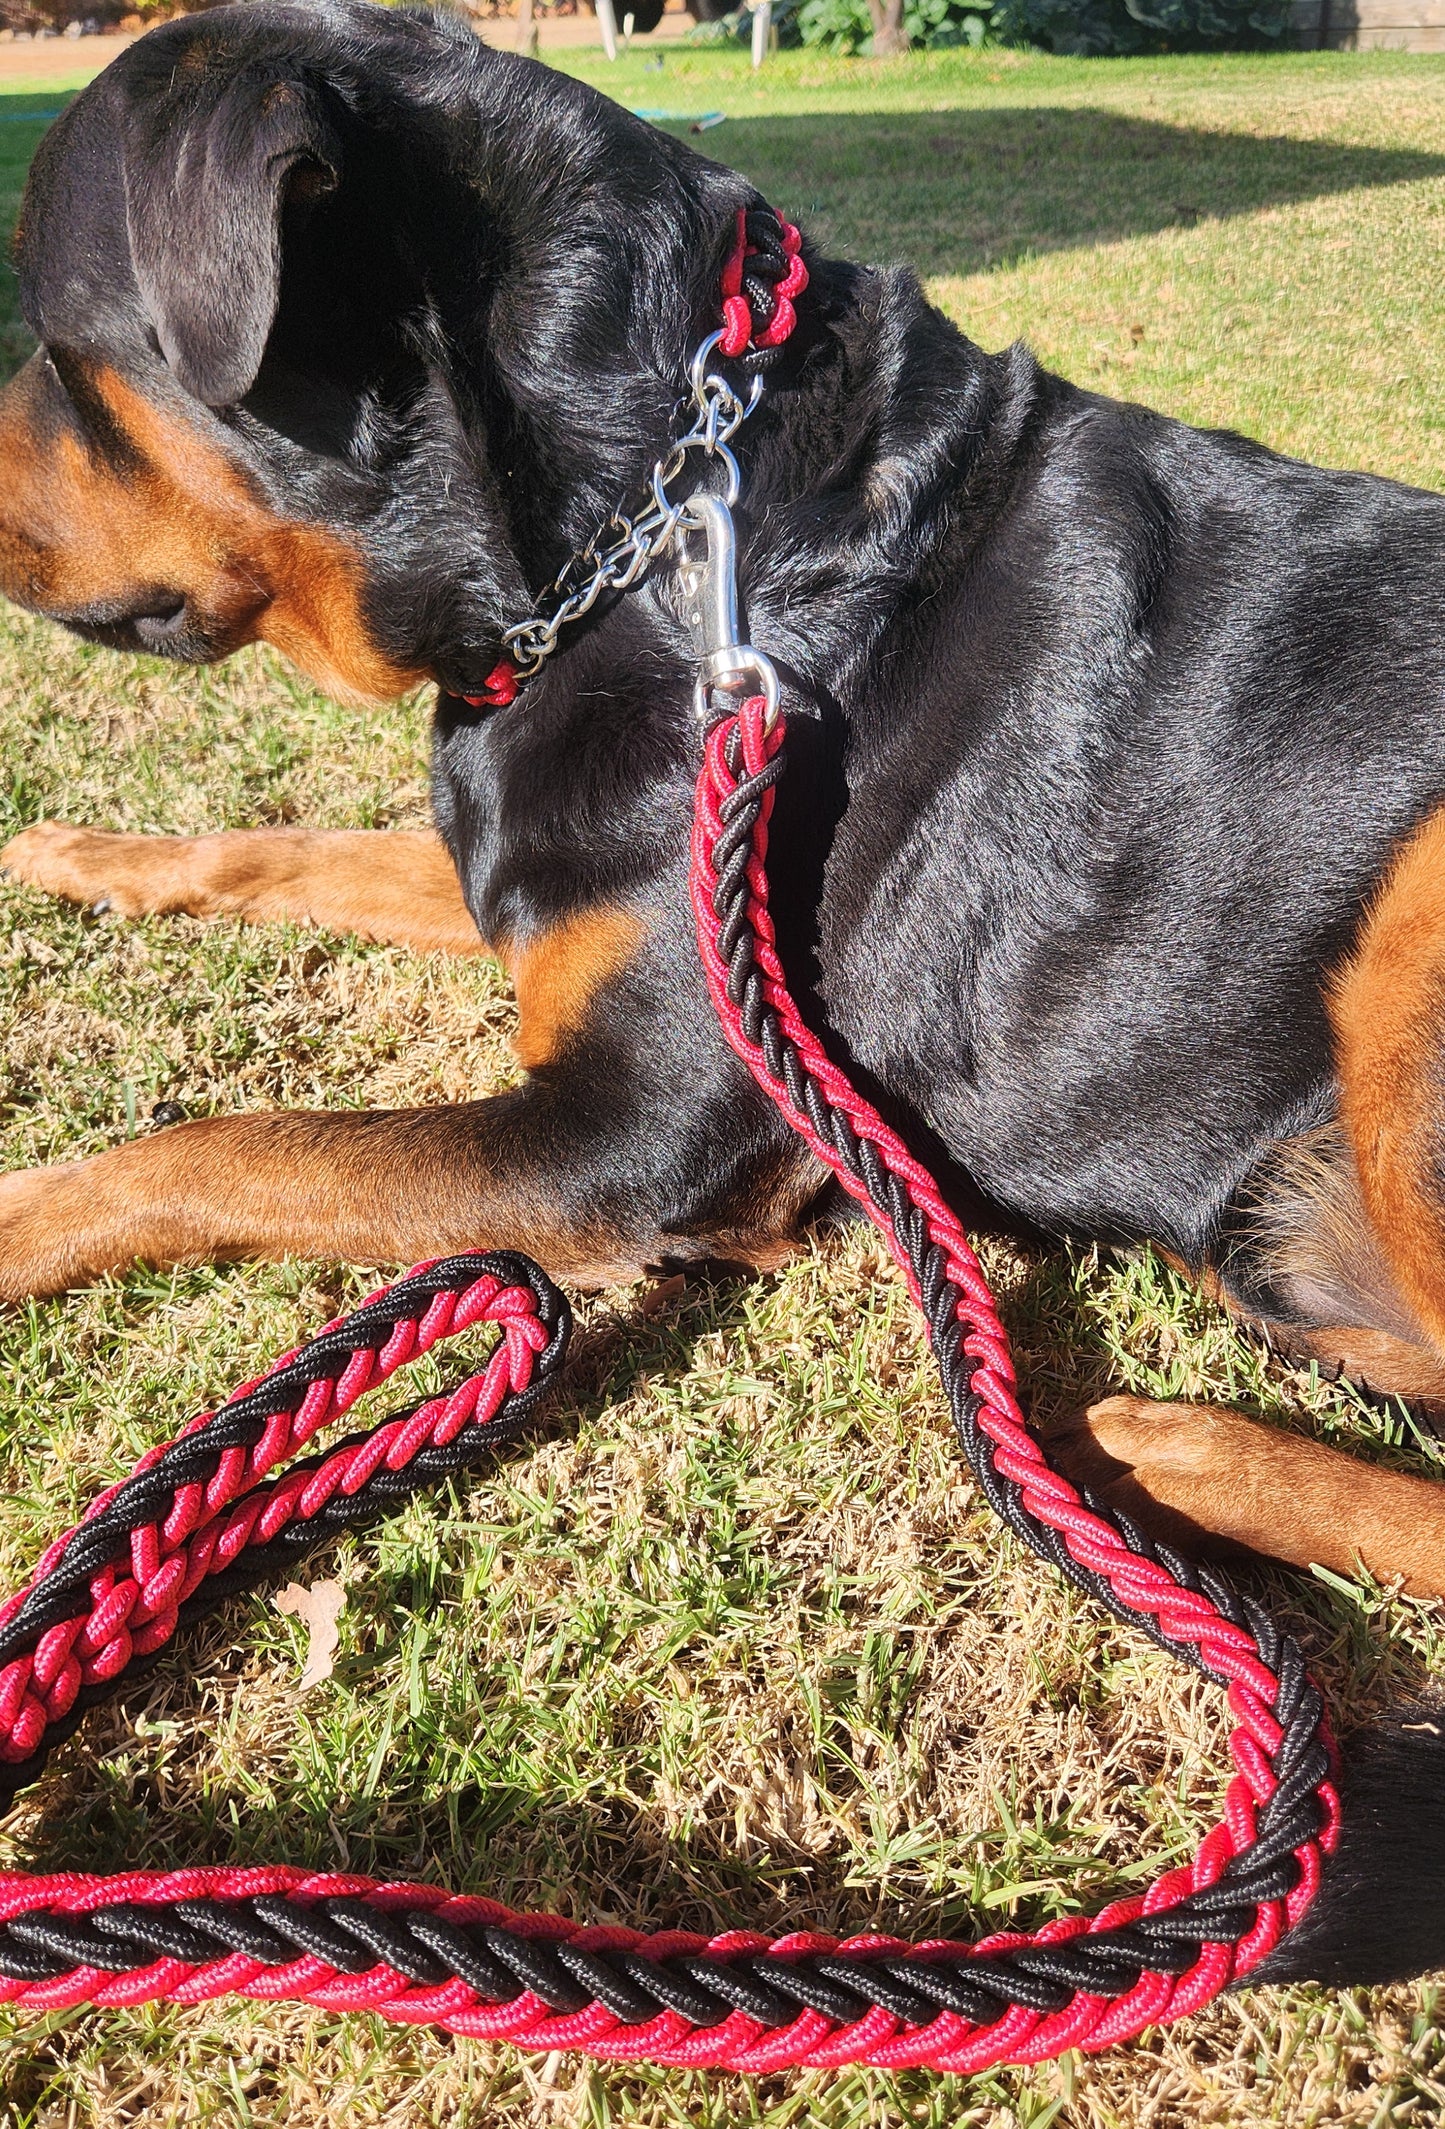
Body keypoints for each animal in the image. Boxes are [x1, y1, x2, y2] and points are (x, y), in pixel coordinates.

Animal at [2, 0, 1445, 1975]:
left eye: (57, 345)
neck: (644, 530)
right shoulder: (531, 868)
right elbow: (286, 846)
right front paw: (77, 848)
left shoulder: (629, 1139)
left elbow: (219, 1144)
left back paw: (1167, 1447)